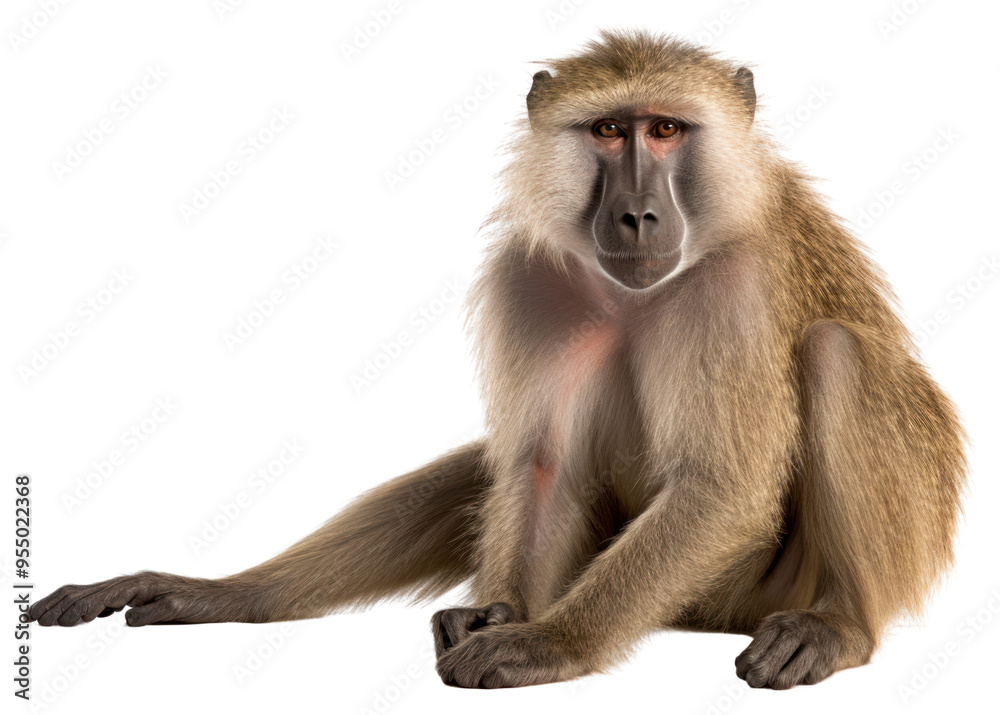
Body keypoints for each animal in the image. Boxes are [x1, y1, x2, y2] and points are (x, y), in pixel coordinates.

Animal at [28, 30, 966, 691]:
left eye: (666, 130)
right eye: (608, 131)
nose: (636, 216)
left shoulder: (732, 290)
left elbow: (723, 487)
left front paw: (550, 638)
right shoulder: (527, 277)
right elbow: (539, 464)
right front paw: (499, 613)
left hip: (772, 582)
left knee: (836, 354)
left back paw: (840, 624)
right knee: (490, 463)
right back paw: (237, 594)